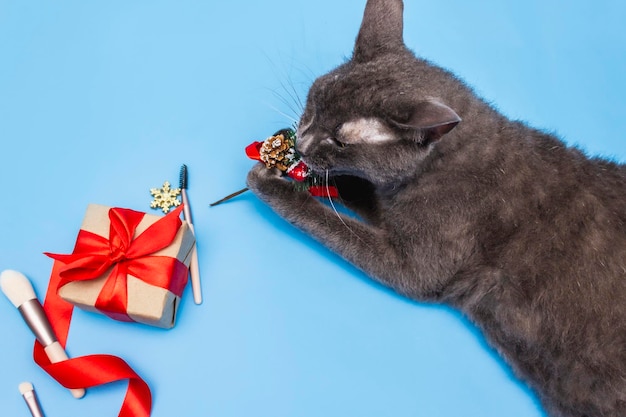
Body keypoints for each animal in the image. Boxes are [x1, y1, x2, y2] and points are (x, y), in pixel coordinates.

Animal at [244, 0, 624, 412]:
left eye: (341, 141)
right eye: (314, 102)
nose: (303, 143)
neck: (446, 162)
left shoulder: (417, 265)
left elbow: (331, 223)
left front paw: (274, 182)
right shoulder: (391, 204)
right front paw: (299, 168)